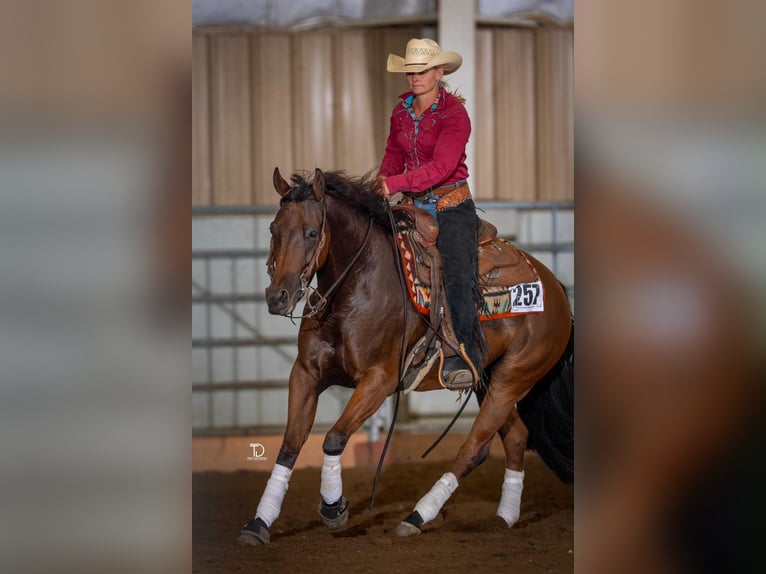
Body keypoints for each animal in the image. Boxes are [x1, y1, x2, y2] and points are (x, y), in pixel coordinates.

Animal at [237, 168, 573, 545]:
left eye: (311, 232)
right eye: (273, 230)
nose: (277, 297)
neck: (355, 288)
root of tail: (557, 290)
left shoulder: (379, 380)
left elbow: (334, 438)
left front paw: (334, 509)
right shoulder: (306, 373)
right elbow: (290, 445)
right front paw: (259, 522)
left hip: (513, 379)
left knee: (473, 448)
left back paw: (416, 516)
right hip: (489, 380)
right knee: (515, 438)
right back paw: (504, 518)